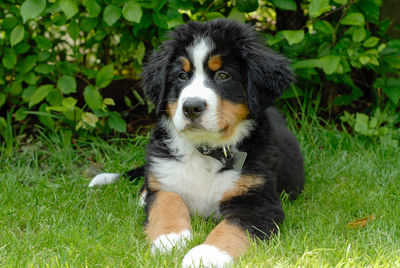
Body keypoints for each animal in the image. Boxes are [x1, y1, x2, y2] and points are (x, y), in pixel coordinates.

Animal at [90, 19, 304, 268]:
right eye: (182, 76)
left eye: (223, 75)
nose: (191, 107)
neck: (207, 151)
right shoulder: (167, 178)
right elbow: (166, 203)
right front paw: (170, 238)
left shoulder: (258, 201)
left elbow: (233, 228)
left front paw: (205, 254)